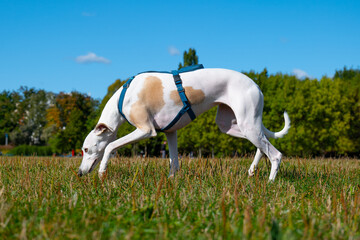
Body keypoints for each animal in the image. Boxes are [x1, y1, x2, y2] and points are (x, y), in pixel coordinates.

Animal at [76, 67, 290, 180]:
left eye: (86, 149)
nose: (79, 173)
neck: (123, 97)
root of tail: (257, 85)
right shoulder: (170, 132)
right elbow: (174, 162)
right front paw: (171, 182)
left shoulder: (146, 130)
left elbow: (110, 145)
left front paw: (102, 171)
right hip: (233, 125)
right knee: (262, 146)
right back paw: (252, 171)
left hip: (248, 125)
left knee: (276, 154)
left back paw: (270, 182)